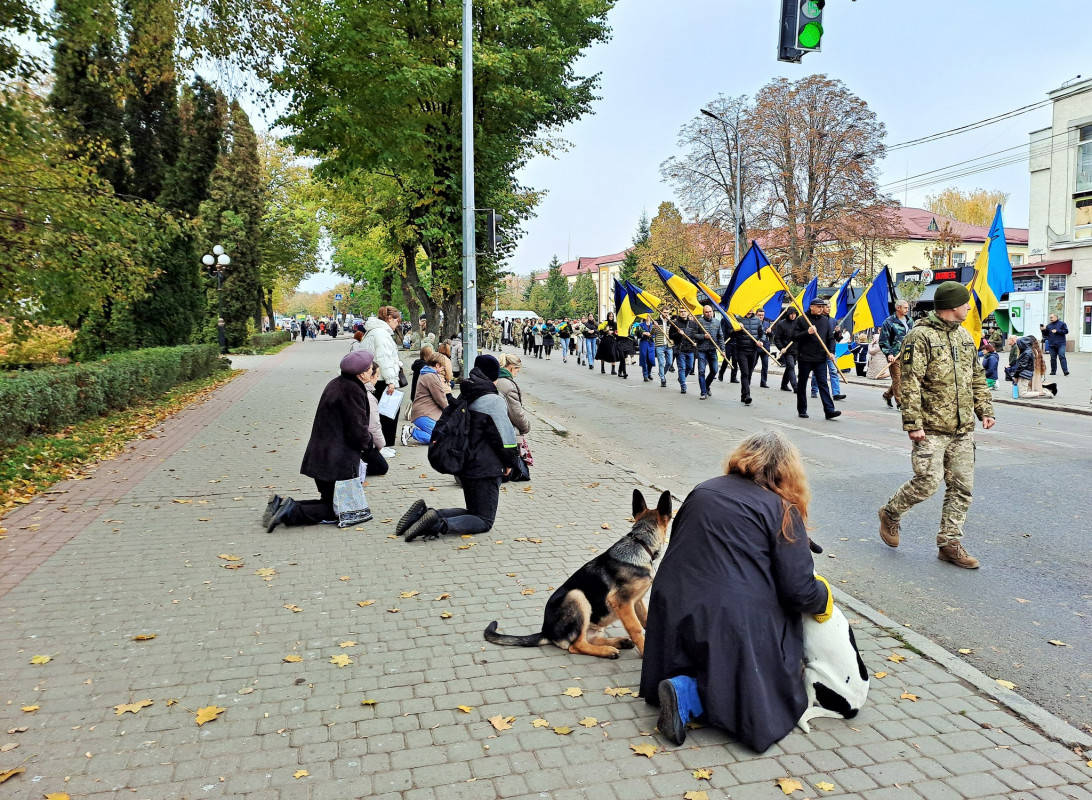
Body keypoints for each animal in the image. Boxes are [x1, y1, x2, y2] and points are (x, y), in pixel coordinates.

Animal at [482, 488, 668, 659]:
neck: (641, 543)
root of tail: (546, 632)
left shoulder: (637, 600)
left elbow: (645, 620)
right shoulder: (622, 602)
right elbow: (636, 628)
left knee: (590, 639)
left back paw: (617, 642)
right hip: (577, 596)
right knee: (576, 645)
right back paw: (607, 650)